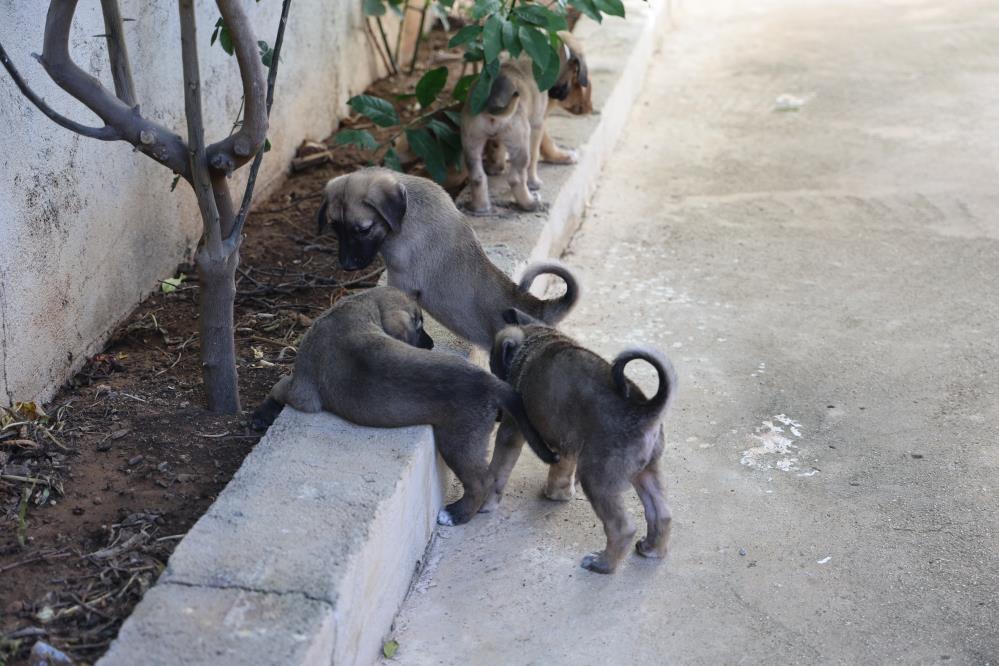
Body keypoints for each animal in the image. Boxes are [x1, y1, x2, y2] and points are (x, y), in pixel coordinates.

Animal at [250, 288, 560, 528]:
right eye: (419, 324)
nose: (431, 344)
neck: (357, 307)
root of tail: (489, 381)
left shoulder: (303, 391)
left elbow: (278, 386)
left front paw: (260, 415)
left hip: (458, 441)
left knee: (480, 482)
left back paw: (457, 515)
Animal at [316, 166, 584, 348]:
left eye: (363, 229)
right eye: (335, 228)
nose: (346, 266)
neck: (407, 211)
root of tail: (541, 308)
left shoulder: (401, 281)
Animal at [462, 31, 592, 213]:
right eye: (575, 74)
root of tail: (492, 104)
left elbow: (497, 150)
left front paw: (496, 167)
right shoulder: (537, 124)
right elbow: (536, 155)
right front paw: (535, 181)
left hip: (471, 142)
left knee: (477, 177)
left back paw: (481, 208)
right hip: (520, 142)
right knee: (516, 177)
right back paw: (530, 203)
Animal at [486, 308, 676, 572]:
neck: (535, 342)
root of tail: (646, 411)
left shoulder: (511, 430)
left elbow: (497, 470)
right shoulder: (566, 444)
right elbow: (561, 472)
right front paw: (557, 494)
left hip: (597, 479)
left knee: (621, 528)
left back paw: (602, 564)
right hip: (646, 472)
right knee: (662, 513)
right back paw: (652, 549)